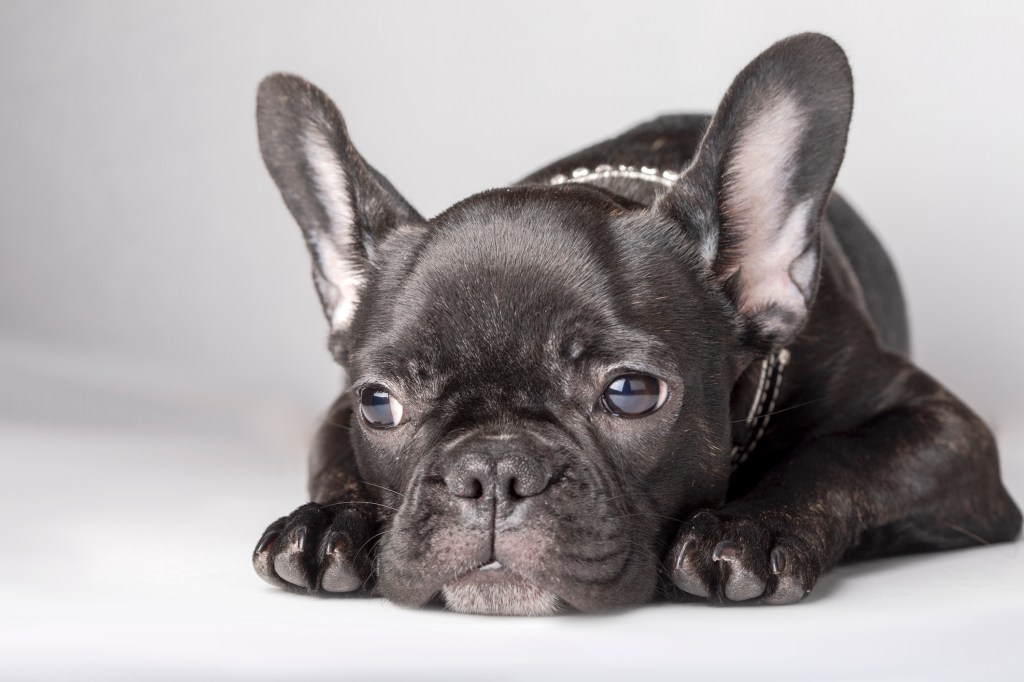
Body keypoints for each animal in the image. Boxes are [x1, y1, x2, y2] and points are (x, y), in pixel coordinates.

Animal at [249, 34, 1024, 614]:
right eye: (378, 405)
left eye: (631, 393)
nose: (491, 471)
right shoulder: (333, 416)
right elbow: (339, 467)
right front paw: (330, 522)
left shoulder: (947, 432)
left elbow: (839, 456)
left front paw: (749, 525)